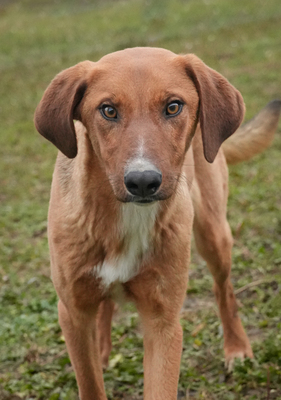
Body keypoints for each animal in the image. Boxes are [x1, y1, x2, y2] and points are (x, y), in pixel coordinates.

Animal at [33, 47, 280, 400]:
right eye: (108, 110)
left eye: (173, 106)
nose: (142, 182)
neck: (124, 217)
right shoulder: (73, 313)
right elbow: (91, 384)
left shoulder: (163, 322)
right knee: (105, 308)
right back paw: (103, 351)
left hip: (213, 234)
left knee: (224, 291)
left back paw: (236, 348)